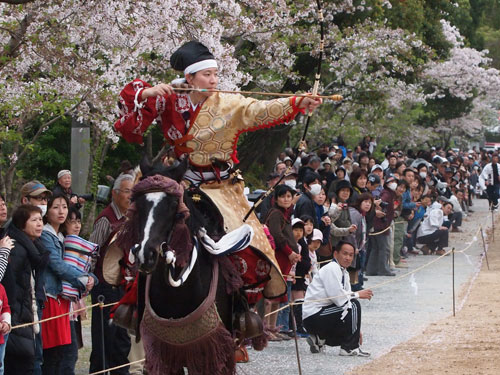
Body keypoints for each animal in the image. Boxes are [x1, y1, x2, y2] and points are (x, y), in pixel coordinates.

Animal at [115, 159, 256, 375]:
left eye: (174, 204)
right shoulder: (165, 351)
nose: (146, 255)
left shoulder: (211, 349)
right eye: (138, 203)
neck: (178, 293)